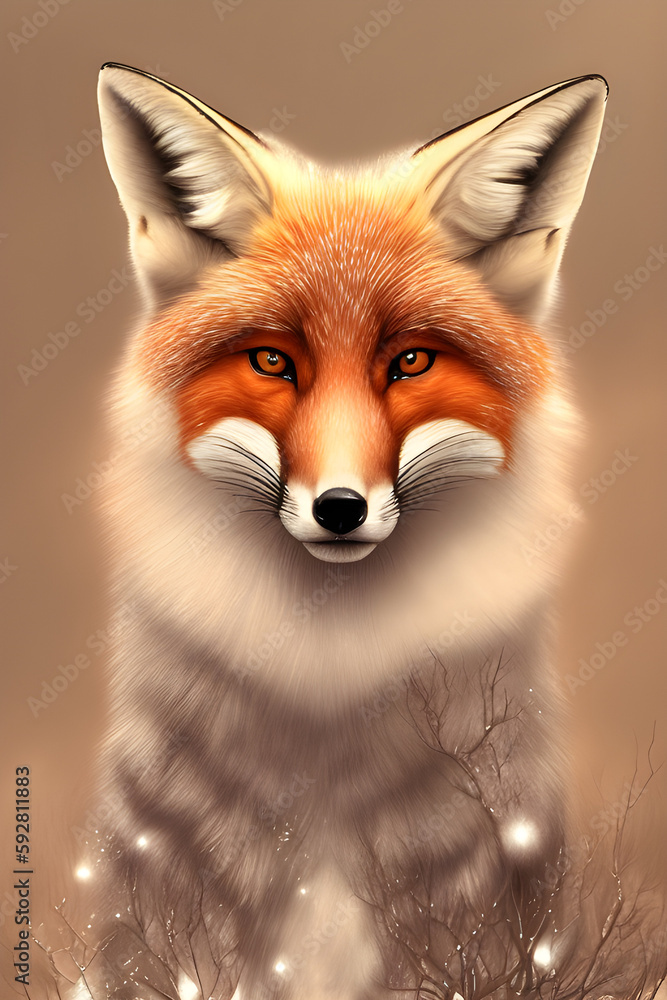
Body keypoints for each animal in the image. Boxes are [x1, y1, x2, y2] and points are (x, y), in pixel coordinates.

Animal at [60, 63, 663, 1000]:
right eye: (273, 361)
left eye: (408, 361)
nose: (338, 508)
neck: (330, 664)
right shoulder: (163, 900)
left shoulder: (477, 903)